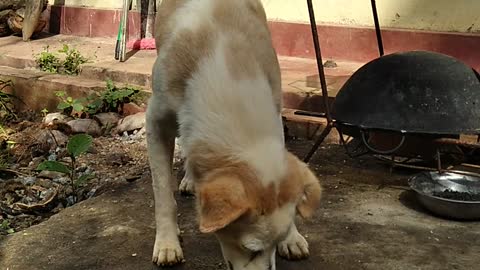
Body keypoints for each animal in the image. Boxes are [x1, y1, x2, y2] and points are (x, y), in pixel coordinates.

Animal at [144, 1, 320, 268]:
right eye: (251, 249)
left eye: (276, 242)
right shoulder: (155, 121)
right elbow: (162, 190)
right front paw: (167, 243)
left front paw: (292, 237)